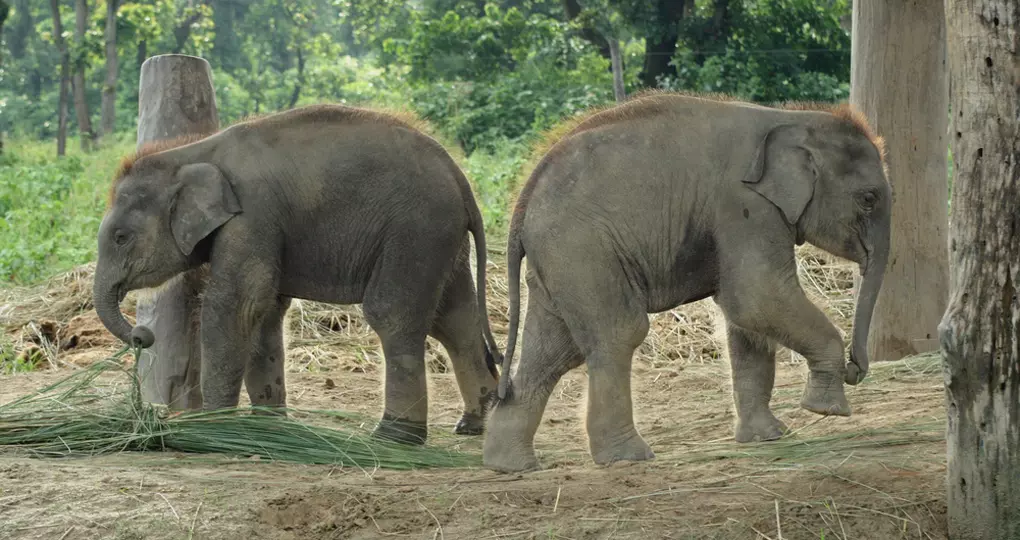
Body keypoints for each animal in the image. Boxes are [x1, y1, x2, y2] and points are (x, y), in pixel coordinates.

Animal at [94, 103, 504, 445]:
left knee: (393, 314)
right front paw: (267, 426)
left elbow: (236, 304)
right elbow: (264, 311)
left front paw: (211, 428)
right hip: (442, 239)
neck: (190, 154)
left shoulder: (252, 217)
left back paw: (394, 438)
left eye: (120, 237)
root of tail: (460, 178)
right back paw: (474, 424)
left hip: (415, 231)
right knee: (455, 319)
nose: (142, 336)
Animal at [482, 91, 892, 472]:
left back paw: (510, 465)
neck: (795, 117)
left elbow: (747, 320)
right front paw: (827, 411)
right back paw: (627, 457)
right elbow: (757, 298)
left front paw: (768, 437)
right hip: (583, 250)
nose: (855, 370)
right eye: (868, 199)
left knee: (553, 351)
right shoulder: (745, 206)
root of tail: (523, 202)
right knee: (617, 333)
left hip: (558, 264)